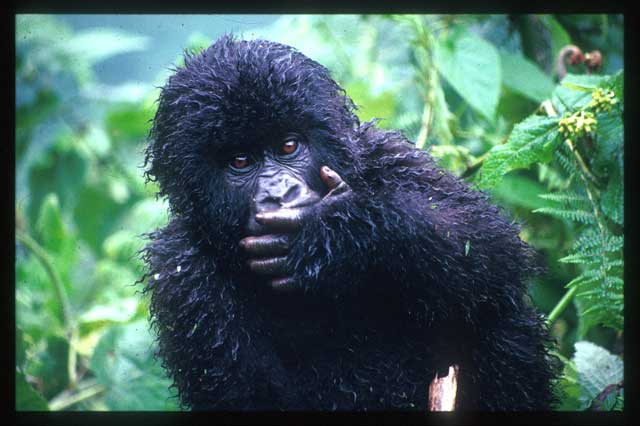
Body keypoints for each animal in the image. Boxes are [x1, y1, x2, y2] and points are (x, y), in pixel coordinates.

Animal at [141, 35, 560, 410]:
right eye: (240, 161)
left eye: (288, 146)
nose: (280, 192)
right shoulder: (182, 275)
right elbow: (251, 397)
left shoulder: (388, 156)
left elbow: (487, 240)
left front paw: (341, 232)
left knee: (494, 308)